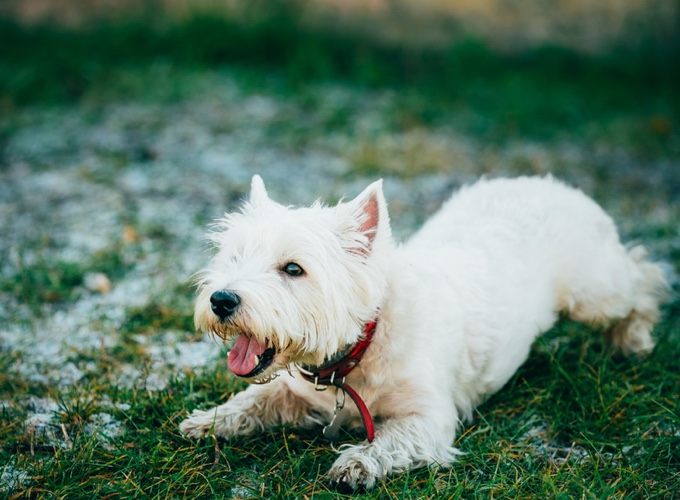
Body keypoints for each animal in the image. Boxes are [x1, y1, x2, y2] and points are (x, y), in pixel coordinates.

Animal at [181, 175, 668, 488]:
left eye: (293, 269)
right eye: (234, 257)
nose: (221, 300)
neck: (364, 344)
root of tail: (556, 184)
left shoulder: (430, 418)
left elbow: (390, 440)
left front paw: (355, 465)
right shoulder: (297, 391)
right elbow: (255, 398)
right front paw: (209, 420)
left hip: (595, 292)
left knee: (641, 275)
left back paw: (633, 341)